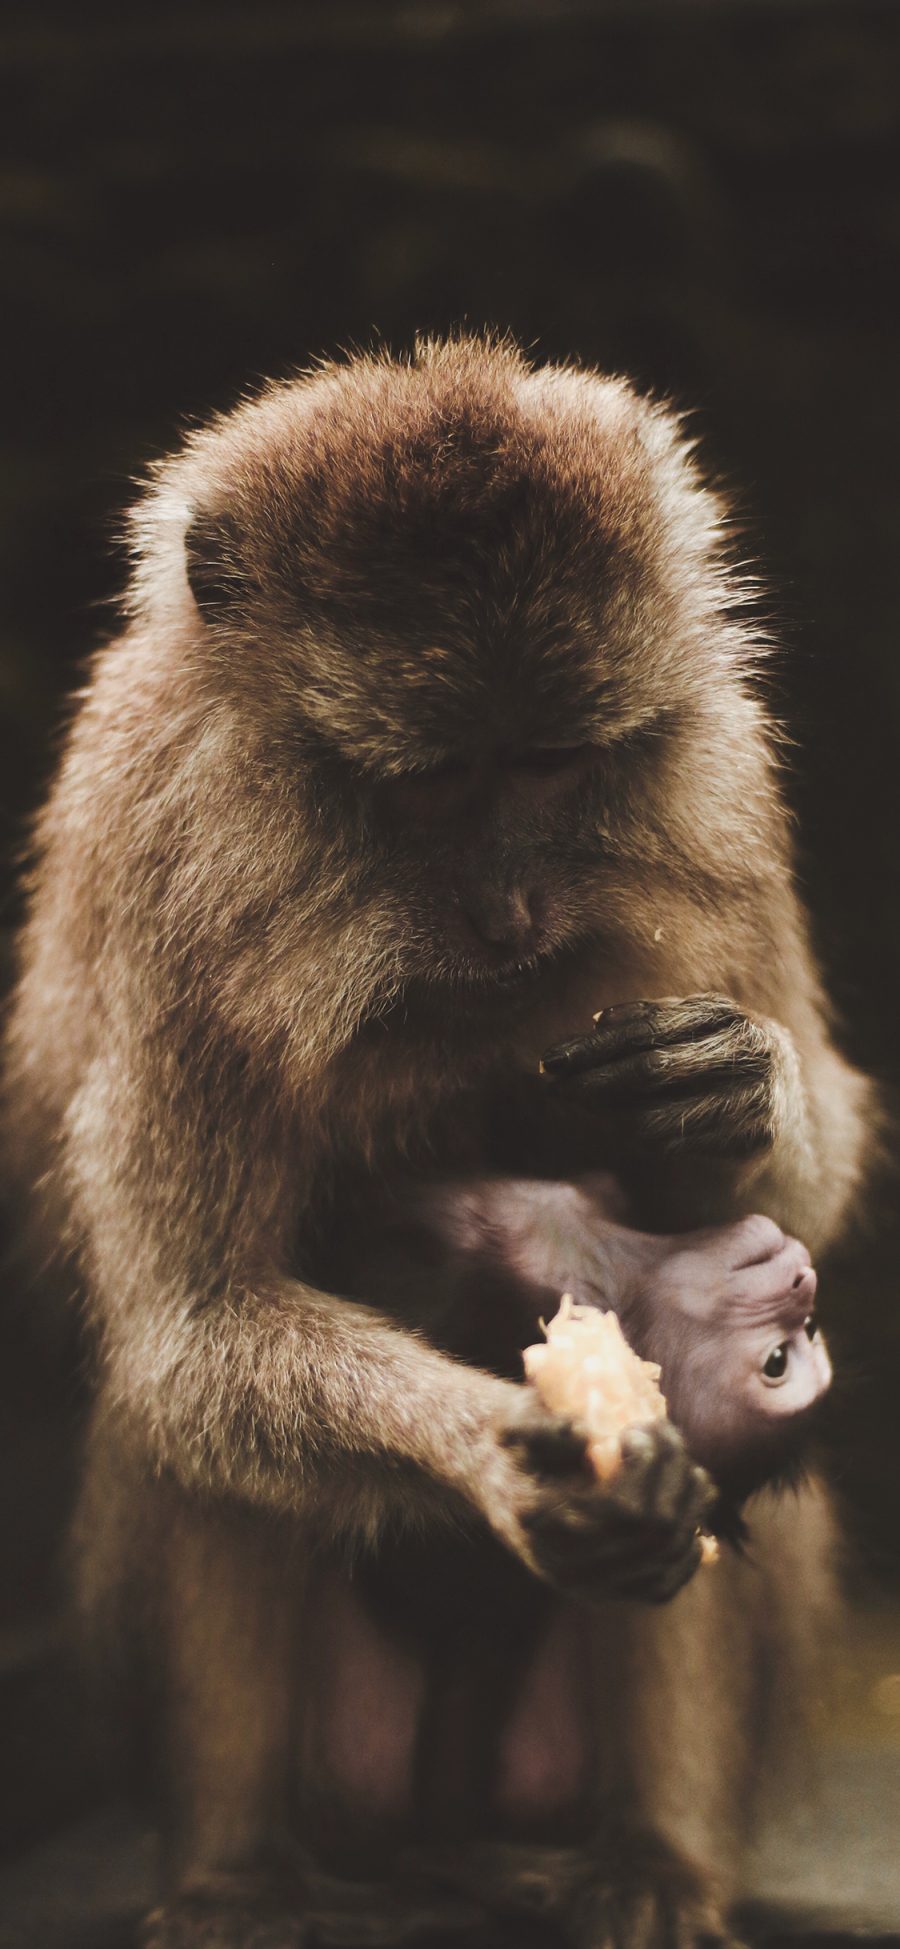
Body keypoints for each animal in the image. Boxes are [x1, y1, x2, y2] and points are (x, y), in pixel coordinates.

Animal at [3, 343, 868, 1941]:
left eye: (551, 762)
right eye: (429, 780)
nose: (512, 913)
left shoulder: (724, 808)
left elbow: (818, 1152)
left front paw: (741, 1090)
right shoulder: (177, 884)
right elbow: (197, 1332)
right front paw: (501, 1452)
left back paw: (654, 1857)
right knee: (193, 1447)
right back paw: (238, 1875)